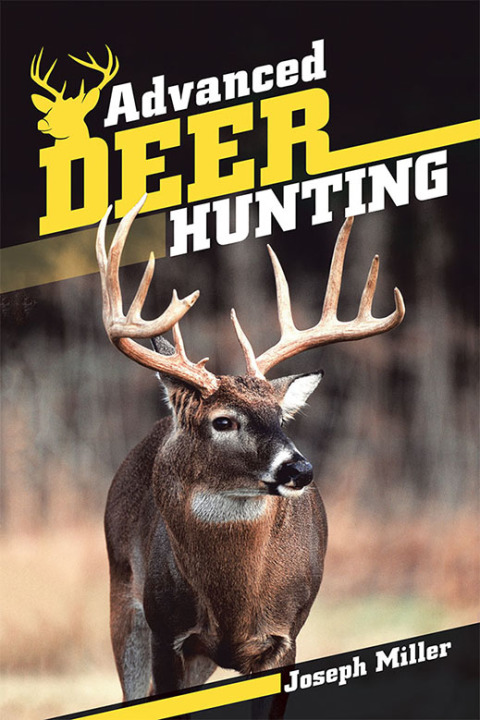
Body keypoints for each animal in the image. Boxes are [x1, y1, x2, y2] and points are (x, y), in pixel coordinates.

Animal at [96, 196, 405, 718]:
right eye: (223, 421)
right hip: (123, 598)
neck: (233, 605)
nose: (300, 468)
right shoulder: (166, 632)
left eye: (281, 416)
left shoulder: (284, 639)